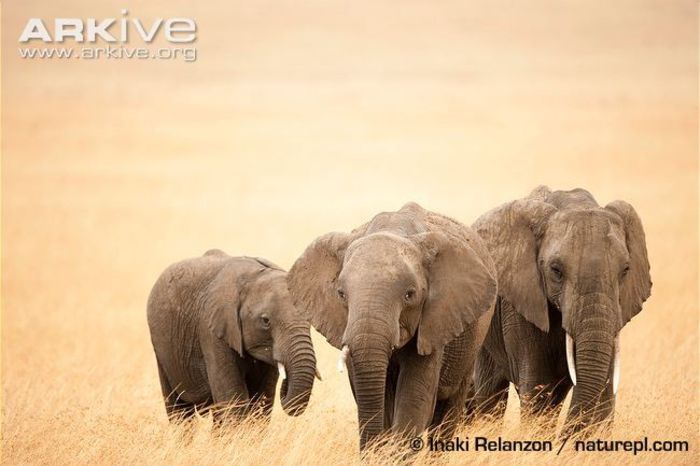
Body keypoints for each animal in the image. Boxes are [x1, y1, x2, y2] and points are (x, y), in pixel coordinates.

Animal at [146, 251, 318, 422]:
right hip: (162, 352)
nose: (286, 384)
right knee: (179, 410)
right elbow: (233, 399)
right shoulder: (212, 331)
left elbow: (262, 400)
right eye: (265, 321)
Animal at [470, 186, 652, 434]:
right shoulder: (522, 304)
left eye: (625, 270)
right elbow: (538, 387)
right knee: (491, 393)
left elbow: (604, 387)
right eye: (556, 270)